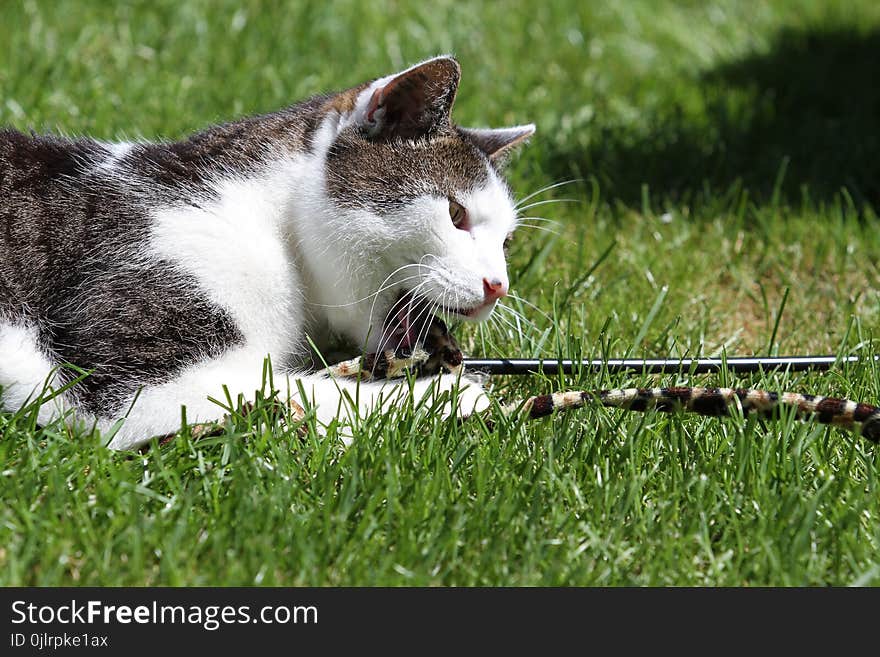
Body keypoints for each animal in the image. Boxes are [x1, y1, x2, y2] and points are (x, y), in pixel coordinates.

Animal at [0, 56, 536, 448]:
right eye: (456, 214)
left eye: (506, 242)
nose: (499, 286)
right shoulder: (136, 386)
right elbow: (299, 390)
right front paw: (454, 396)